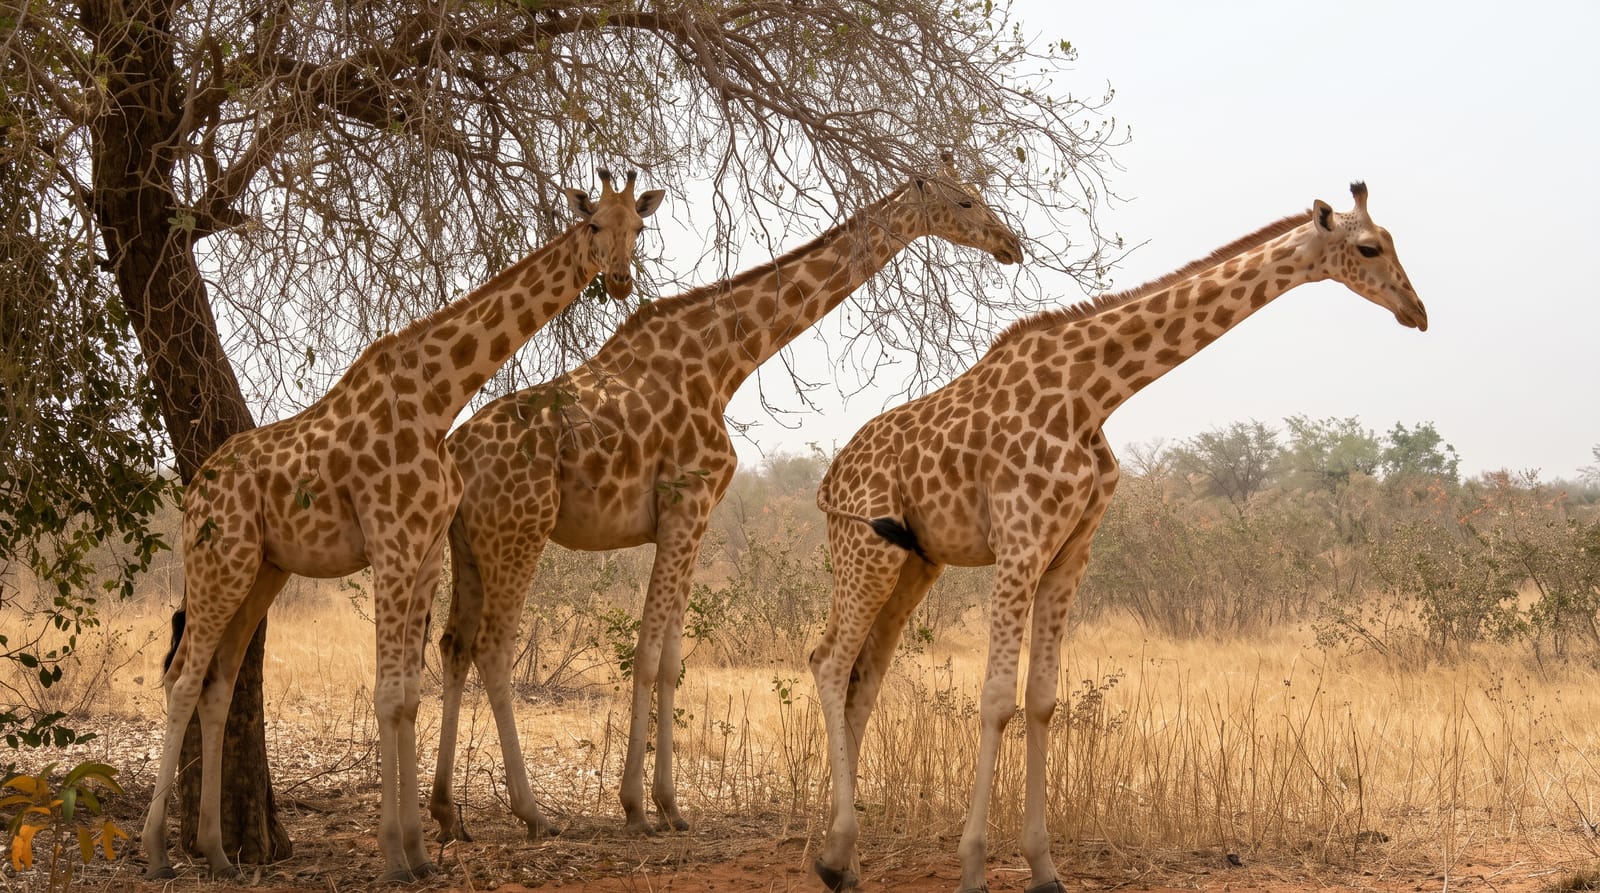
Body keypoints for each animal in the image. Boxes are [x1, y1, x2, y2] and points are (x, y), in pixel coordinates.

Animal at [138, 171, 664, 883]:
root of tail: (193, 492)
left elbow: (410, 694)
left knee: (218, 685)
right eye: (592, 224)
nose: (620, 279)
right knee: (182, 679)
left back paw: (219, 853)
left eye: (637, 226)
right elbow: (388, 695)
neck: (438, 399)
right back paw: (156, 852)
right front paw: (393, 855)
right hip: (219, 563)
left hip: (262, 572)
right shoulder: (390, 544)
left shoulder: (424, 553)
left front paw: (418, 852)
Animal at [430, 166, 1024, 840]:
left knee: (453, 645)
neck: (723, 363)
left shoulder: (695, 519)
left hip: (468, 544)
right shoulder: (684, 505)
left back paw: (447, 813)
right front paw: (637, 807)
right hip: (520, 530)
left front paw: (669, 806)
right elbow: (647, 654)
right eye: (965, 201)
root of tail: (458, 456)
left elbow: (669, 659)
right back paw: (530, 812)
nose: (1011, 244)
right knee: (492, 647)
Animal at [808, 183, 1425, 893]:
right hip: (866, 551)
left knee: (864, 677)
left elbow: (1042, 700)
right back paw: (835, 851)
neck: (1093, 393)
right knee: (828, 662)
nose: (1417, 311)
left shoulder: (1069, 553)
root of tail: (830, 476)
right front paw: (973, 869)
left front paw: (1045, 868)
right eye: (1369, 247)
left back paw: (844, 863)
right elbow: (996, 699)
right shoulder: (1020, 543)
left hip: (915, 565)